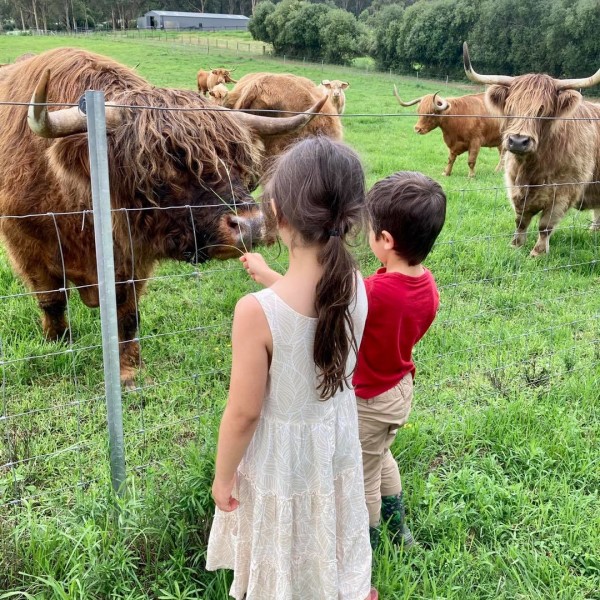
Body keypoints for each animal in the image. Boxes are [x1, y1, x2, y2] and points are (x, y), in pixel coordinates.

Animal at [0, 47, 326, 386]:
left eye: (239, 162)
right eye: (164, 167)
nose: (249, 224)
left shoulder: (132, 259)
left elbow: (127, 313)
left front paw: (129, 369)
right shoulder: (25, 244)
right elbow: (52, 300)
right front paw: (59, 342)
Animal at [464, 41, 600, 256]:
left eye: (543, 110)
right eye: (510, 107)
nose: (518, 141)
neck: (532, 168)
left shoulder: (564, 191)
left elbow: (545, 225)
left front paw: (537, 253)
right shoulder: (515, 185)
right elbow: (521, 219)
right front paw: (515, 245)